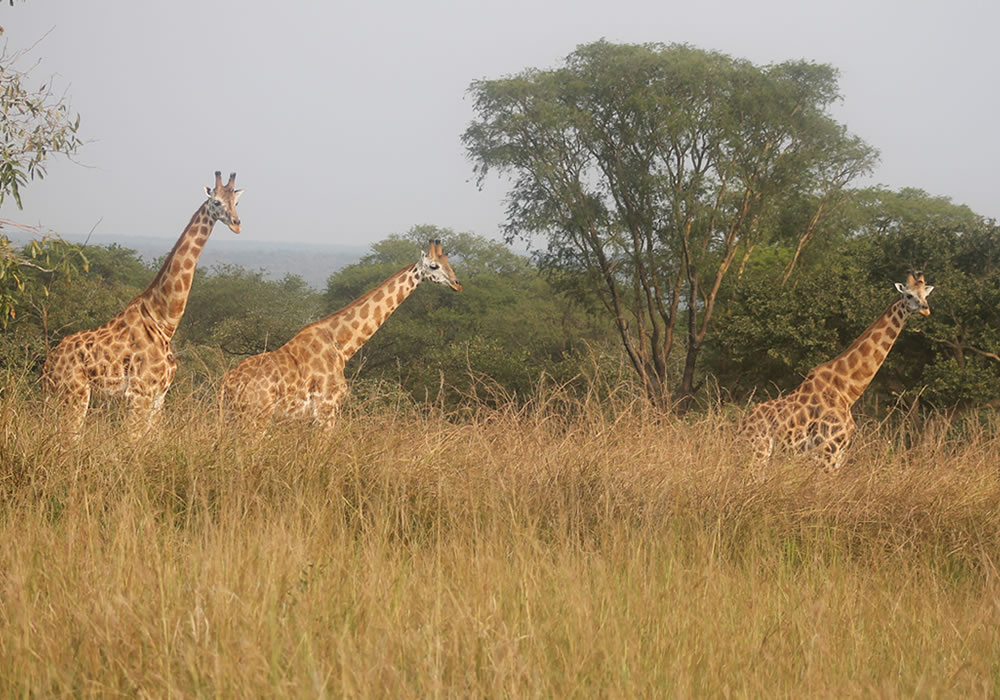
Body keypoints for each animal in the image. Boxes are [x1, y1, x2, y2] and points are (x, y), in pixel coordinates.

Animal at [42, 172, 246, 434]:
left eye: (236, 202)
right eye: (217, 202)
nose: (236, 224)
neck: (163, 320)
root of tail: (48, 364)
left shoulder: (159, 395)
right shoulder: (139, 392)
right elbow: (132, 439)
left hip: (59, 396)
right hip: (74, 394)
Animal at [219, 238, 460, 430]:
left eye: (450, 264)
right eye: (434, 266)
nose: (457, 285)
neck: (341, 345)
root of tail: (227, 385)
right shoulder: (327, 408)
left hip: (234, 416)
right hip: (256, 416)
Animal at [736, 270, 936, 474]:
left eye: (925, 295)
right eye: (908, 295)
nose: (925, 309)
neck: (847, 390)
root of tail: (741, 426)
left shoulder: (839, 452)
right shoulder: (827, 449)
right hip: (758, 451)